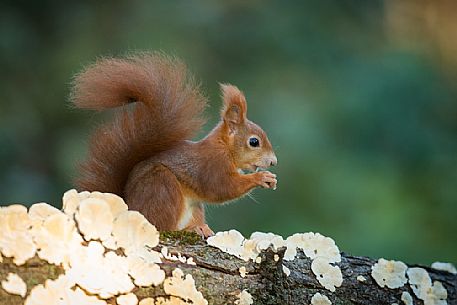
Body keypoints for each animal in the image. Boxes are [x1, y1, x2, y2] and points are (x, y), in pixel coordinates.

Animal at [71, 52, 276, 238]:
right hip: (162, 188)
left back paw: (200, 228)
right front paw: (261, 177)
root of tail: (127, 209)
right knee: (161, 227)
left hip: (192, 205)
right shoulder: (212, 166)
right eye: (254, 142)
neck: (224, 148)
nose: (273, 162)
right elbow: (222, 188)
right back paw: (189, 229)